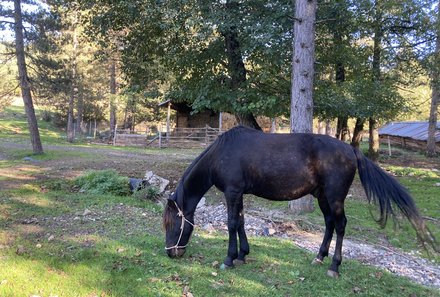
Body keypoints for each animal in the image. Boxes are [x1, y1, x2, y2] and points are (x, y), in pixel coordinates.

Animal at [162, 125, 436, 278]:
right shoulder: (238, 194)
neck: (222, 153)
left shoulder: (232, 192)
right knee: (329, 224)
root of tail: (351, 150)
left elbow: (231, 224)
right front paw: (242, 255)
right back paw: (319, 257)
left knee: (340, 225)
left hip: (335, 198)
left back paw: (334, 266)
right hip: (323, 197)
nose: (171, 253)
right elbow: (240, 223)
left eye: (172, 223)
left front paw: (229, 259)